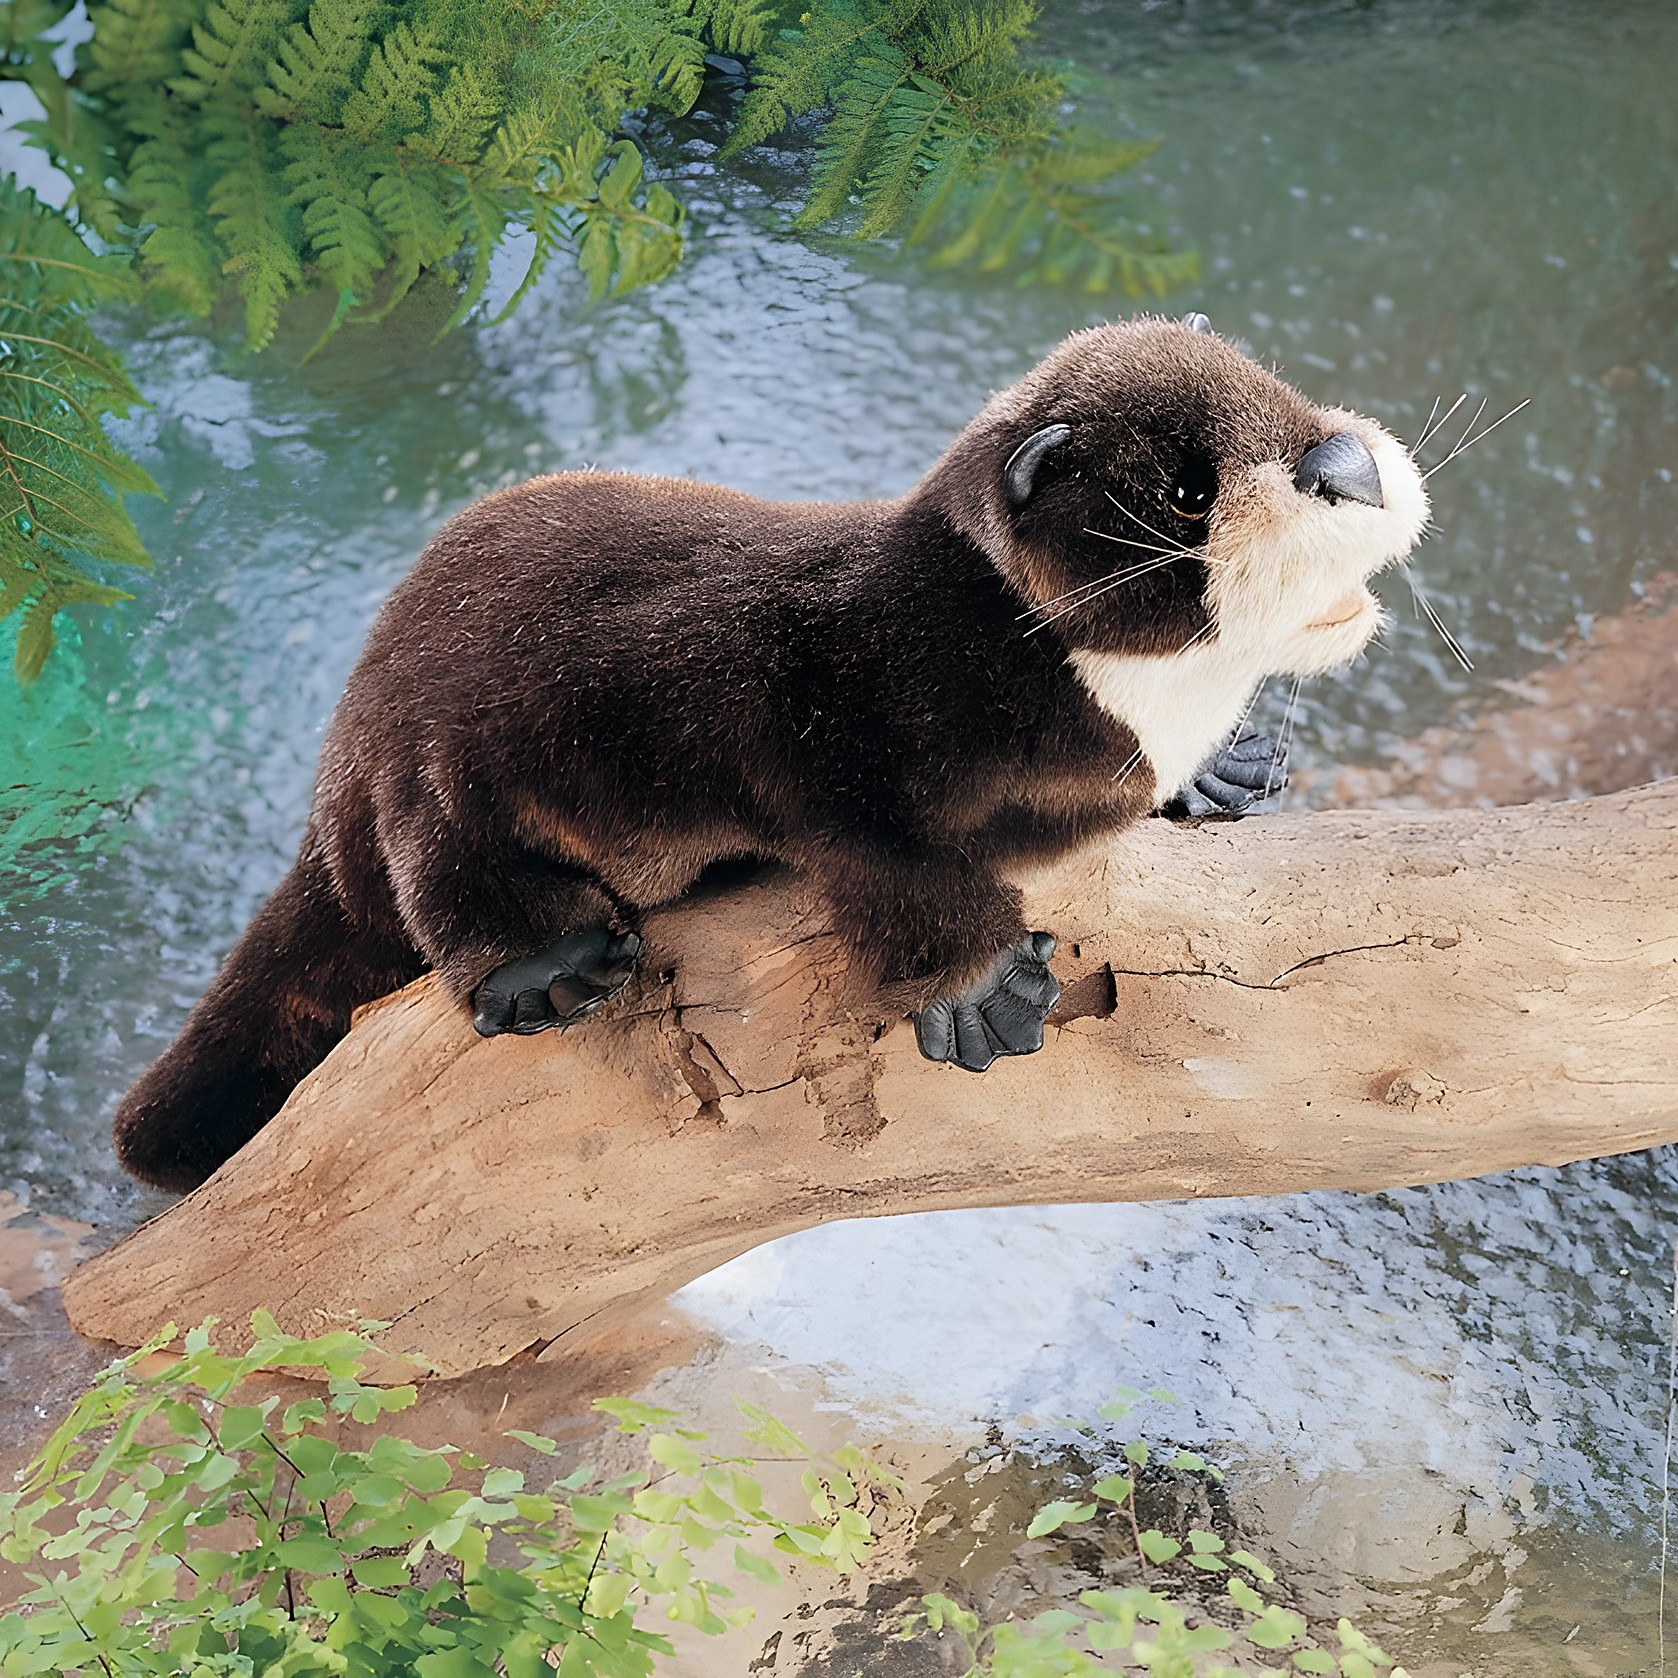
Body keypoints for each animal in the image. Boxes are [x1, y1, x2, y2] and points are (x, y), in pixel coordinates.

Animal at [113, 314, 1429, 1192]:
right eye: (1187, 490)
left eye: (1285, 394)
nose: (1342, 465)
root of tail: (337, 763)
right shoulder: (838, 737)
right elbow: (895, 872)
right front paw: (981, 994)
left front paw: (1220, 772)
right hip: (431, 764)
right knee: (441, 874)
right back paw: (545, 967)